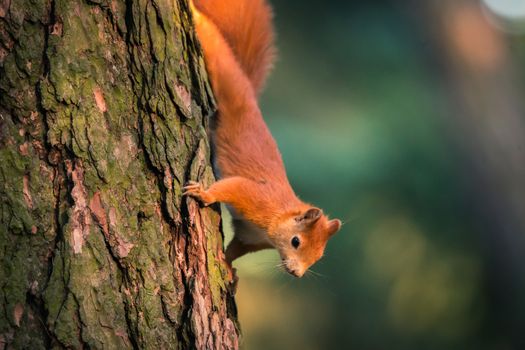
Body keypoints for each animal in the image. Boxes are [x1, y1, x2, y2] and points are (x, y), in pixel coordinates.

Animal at [186, 0, 342, 278]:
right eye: (296, 241)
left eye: (319, 256)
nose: (297, 273)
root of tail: (250, 92)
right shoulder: (254, 197)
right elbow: (230, 187)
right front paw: (203, 193)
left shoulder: (249, 237)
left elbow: (234, 250)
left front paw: (228, 270)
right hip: (228, 80)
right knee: (215, 45)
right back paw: (194, 13)